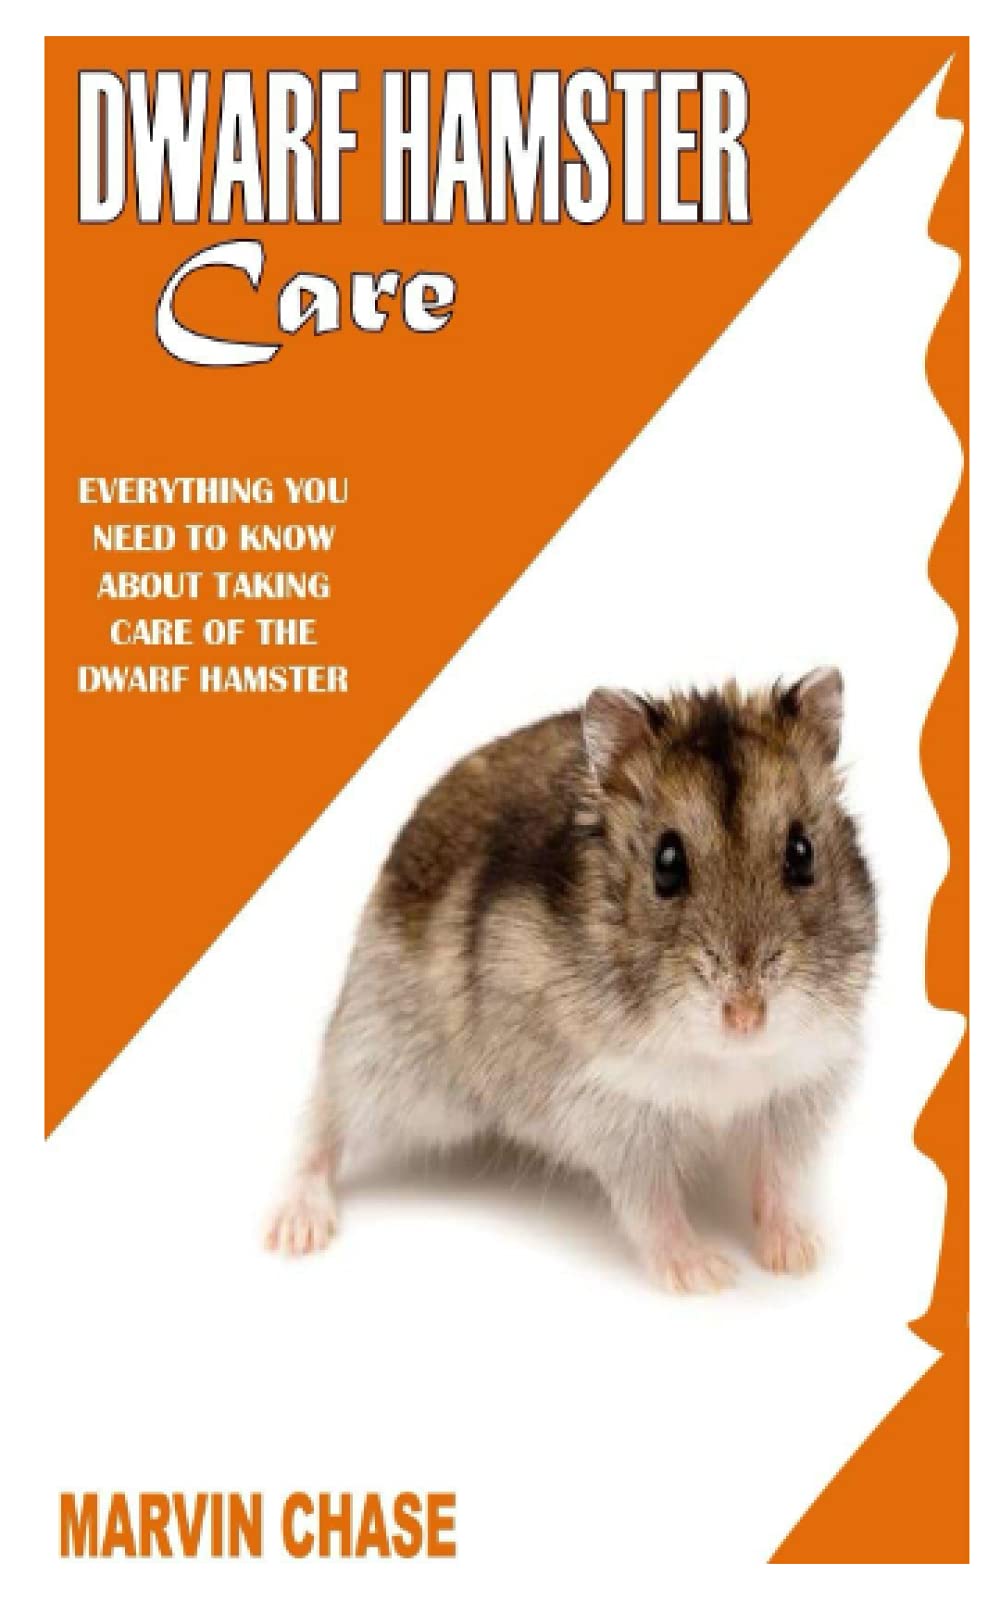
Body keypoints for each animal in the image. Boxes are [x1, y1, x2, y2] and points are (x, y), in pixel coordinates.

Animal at [265, 667, 877, 1291]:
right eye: (666, 864)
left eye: (801, 853)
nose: (746, 1017)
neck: (725, 1060)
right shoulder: (616, 1108)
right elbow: (652, 1204)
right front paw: (705, 1275)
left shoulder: (795, 1093)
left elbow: (778, 1179)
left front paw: (798, 1257)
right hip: (396, 1062)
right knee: (325, 1110)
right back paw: (295, 1230)